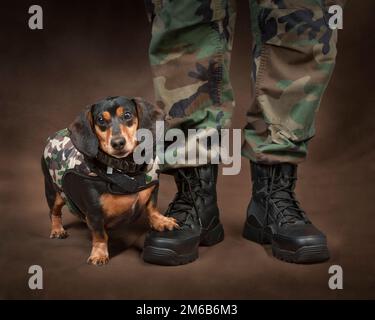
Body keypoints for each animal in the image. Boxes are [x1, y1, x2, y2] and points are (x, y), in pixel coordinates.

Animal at [40, 96, 178, 266]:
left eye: (127, 115)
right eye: (100, 120)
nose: (117, 143)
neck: (126, 169)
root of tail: (53, 136)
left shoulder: (153, 189)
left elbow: (152, 208)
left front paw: (161, 221)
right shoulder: (94, 212)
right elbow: (100, 234)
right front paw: (99, 254)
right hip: (53, 191)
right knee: (54, 212)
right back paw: (57, 230)